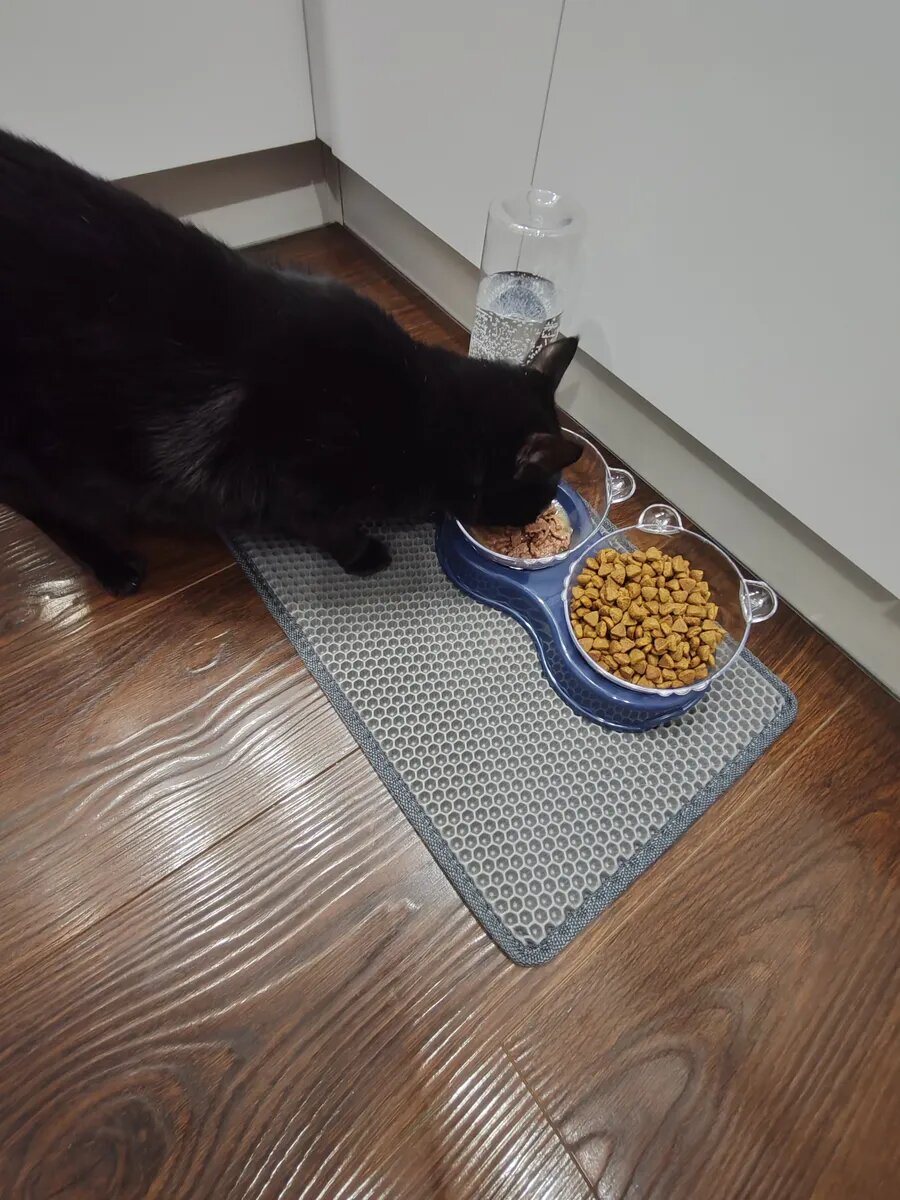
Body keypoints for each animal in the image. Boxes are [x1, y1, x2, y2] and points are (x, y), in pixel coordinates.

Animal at [0, 127, 581, 594]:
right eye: (536, 498)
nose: (529, 523)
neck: (423, 407)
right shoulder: (297, 483)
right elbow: (326, 526)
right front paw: (365, 554)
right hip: (44, 457)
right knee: (47, 511)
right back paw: (115, 566)